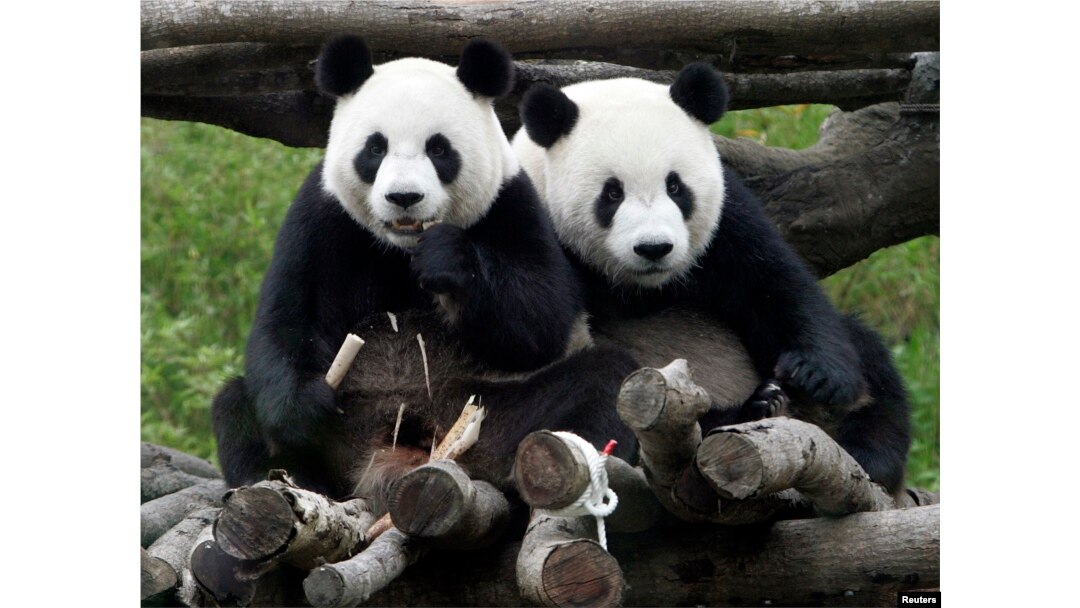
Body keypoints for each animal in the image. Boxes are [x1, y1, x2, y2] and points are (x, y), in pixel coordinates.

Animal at [211, 36, 637, 504]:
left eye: (438, 148)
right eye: (375, 148)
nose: (404, 197)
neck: (402, 246)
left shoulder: (511, 204)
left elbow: (541, 319)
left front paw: (446, 261)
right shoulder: (323, 216)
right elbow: (285, 318)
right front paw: (309, 407)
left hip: (485, 408)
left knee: (599, 385)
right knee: (235, 405)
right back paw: (283, 478)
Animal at [511, 64, 911, 494]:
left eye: (675, 186)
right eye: (612, 193)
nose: (654, 248)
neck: (640, 286)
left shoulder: (726, 219)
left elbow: (773, 284)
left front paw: (816, 373)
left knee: (869, 356)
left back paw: (865, 444)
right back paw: (753, 407)